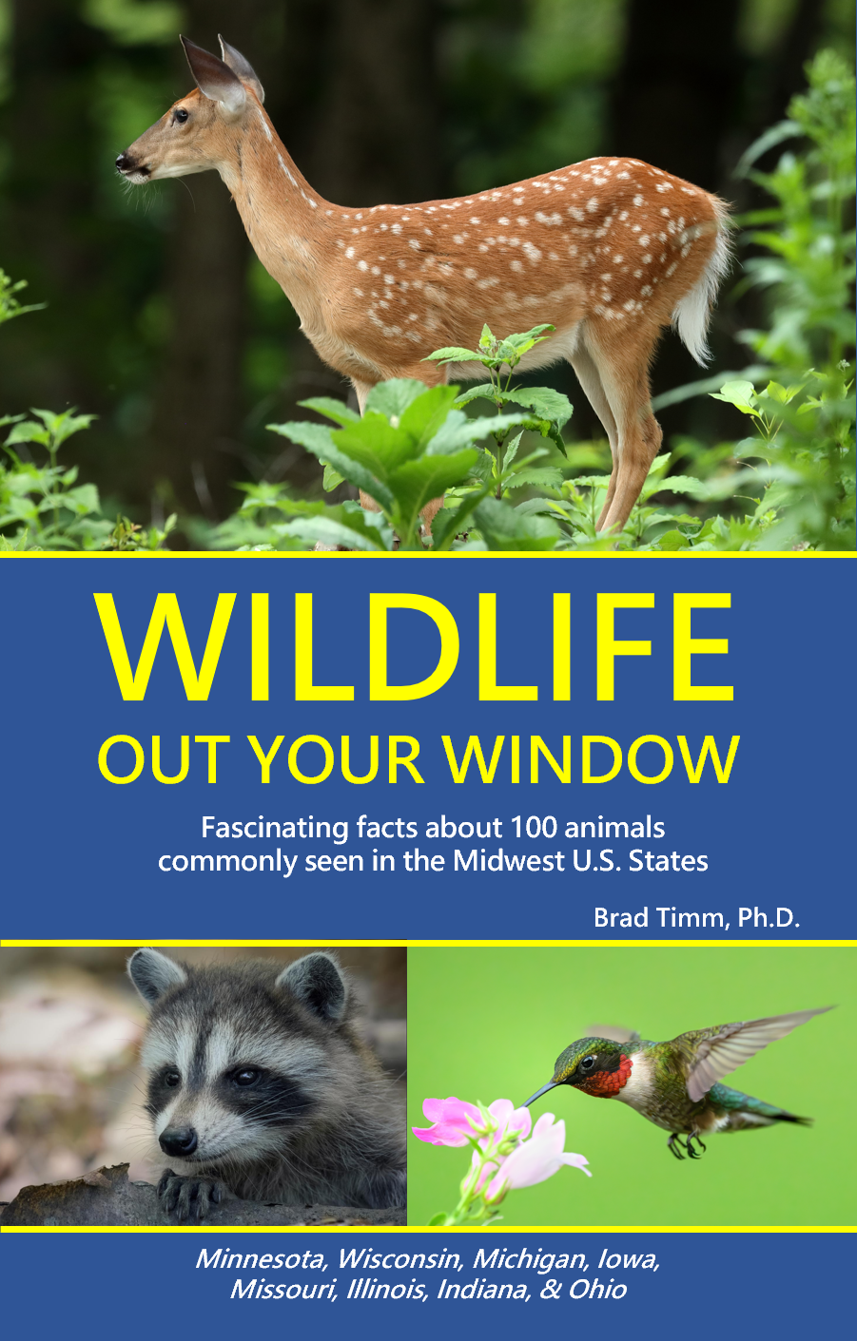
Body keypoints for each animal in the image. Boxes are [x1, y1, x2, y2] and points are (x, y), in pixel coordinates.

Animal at [116, 36, 729, 539]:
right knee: (620, 440)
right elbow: (371, 488)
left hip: (627, 308)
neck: (324, 261)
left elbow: (421, 484)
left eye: (180, 113)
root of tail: (712, 210)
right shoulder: (365, 374)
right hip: (583, 342)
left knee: (643, 436)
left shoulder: (417, 352)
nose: (125, 159)